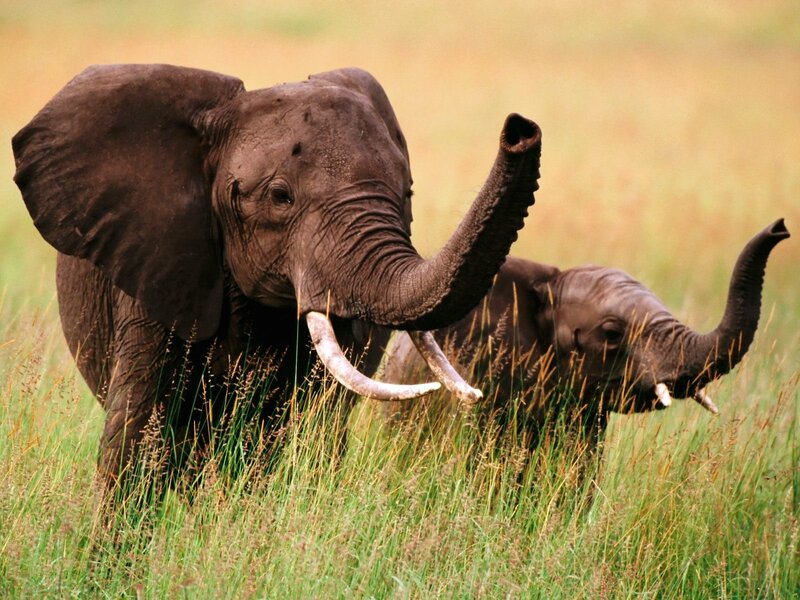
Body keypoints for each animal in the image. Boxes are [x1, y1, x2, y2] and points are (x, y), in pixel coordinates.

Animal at [12, 64, 543, 488]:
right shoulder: (158, 265)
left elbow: (307, 428)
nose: (520, 129)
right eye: (280, 197)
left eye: (407, 192)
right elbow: (138, 434)